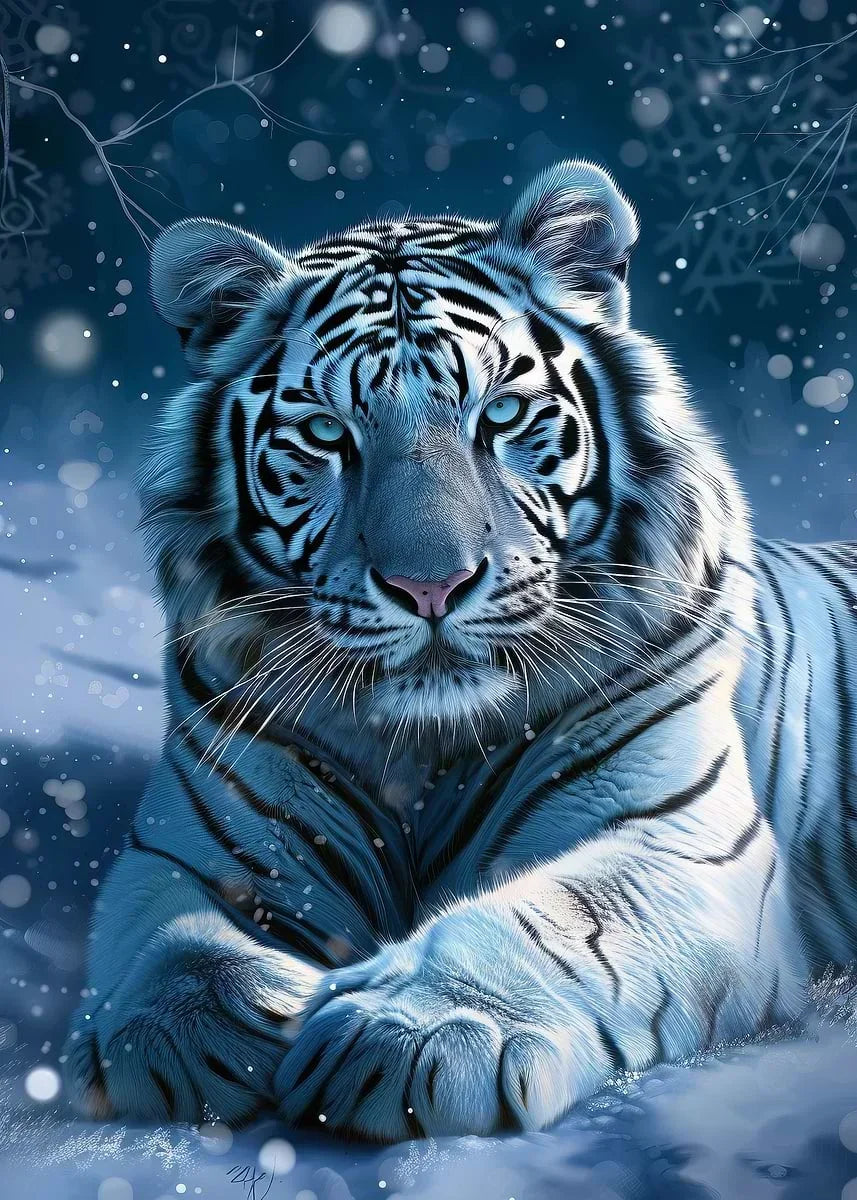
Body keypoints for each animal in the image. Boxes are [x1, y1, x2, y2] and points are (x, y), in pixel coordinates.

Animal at [63, 159, 857, 1142]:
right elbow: (166, 940)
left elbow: (565, 918)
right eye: (325, 434)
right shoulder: (186, 852)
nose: (431, 586)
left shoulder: (679, 841)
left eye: (503, 414)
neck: (420, 751)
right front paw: (201, 1028)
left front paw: (419, 1026)